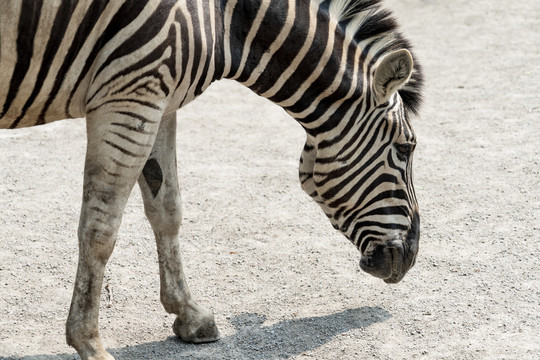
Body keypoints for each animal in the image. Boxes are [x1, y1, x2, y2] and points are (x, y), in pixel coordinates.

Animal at [1, 0, 422, 358]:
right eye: (406, 148)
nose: (410, 258)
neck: (225, 20)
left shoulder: (159, 102)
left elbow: (167, 210)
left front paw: (188, 314)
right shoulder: (129, 98)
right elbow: (99, 230)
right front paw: (89, 342)